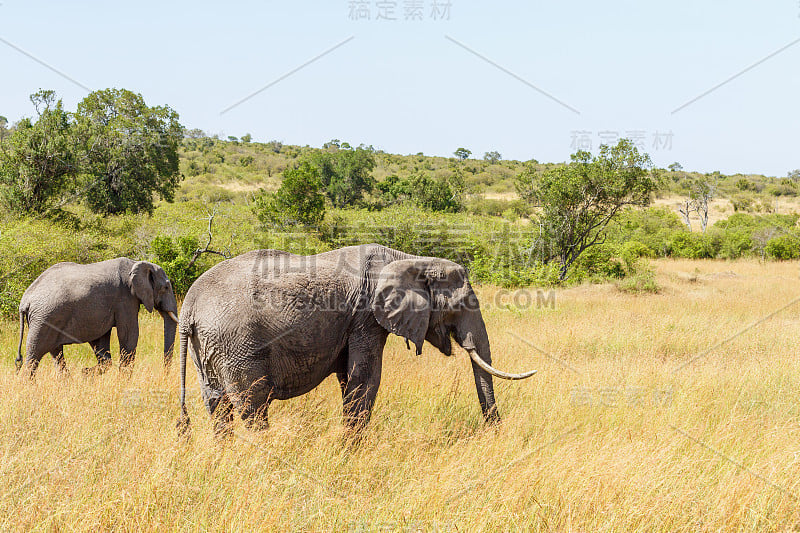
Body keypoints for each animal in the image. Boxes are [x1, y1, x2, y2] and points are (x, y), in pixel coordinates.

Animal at [16, 256, 180, 374]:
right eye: (166, 287)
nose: (165, 373)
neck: (137, 263)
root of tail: (25, 300)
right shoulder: (125, 299)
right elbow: (129, 334)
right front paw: (123, 380)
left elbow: (101, 341)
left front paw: (85, 372)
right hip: (43, 319)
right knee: (34, 356)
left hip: (47, 319)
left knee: (56, 354)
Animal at [178, 243, 536, 434]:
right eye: (460, 306)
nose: (494, 431)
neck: (410, 259)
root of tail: (189, 306)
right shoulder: (366, 317)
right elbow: (365, 378)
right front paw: (352, 450)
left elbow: (348, 378)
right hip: (236, 346)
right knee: (253, 406)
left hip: (207, 348)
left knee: (217, 408)